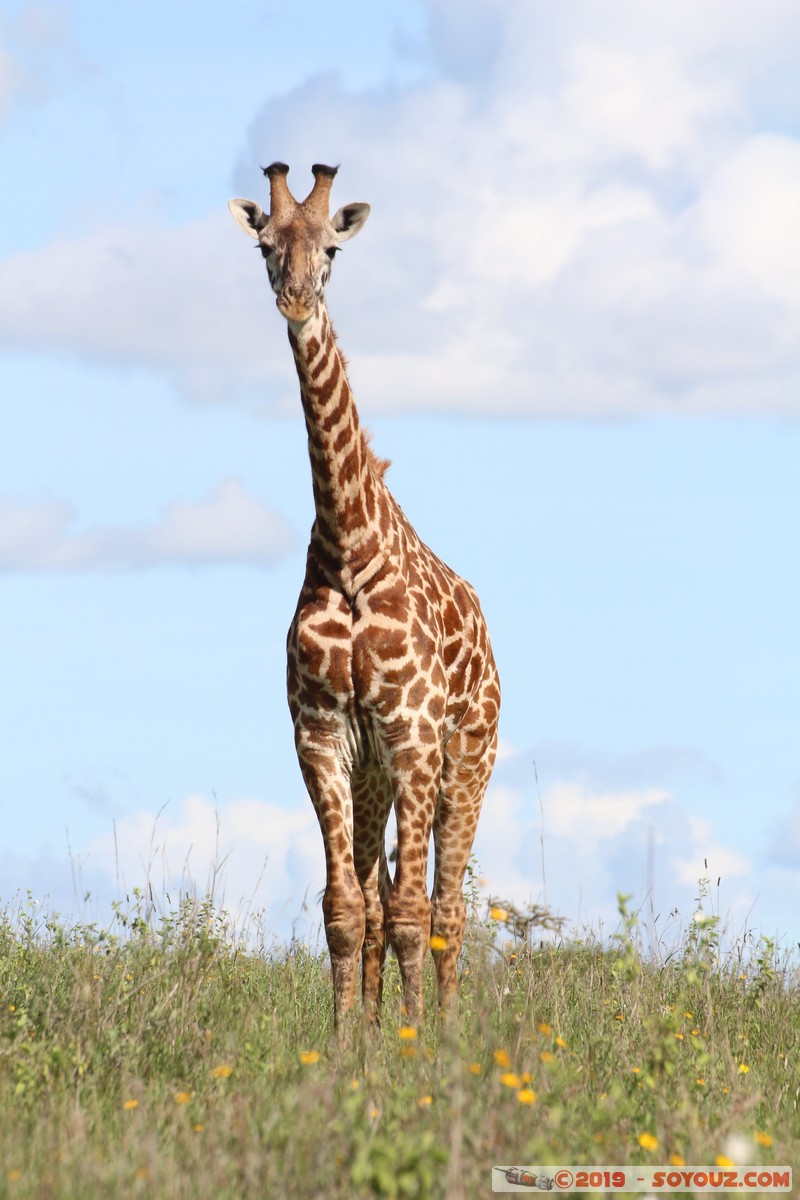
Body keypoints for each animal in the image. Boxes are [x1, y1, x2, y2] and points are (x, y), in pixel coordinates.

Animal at [229, 163, 500, 1027]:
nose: (295, 300)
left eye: (334, 249)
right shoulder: (322, 737)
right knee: (381, 901)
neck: (350, 550)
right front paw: (352, 1044)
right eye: (265, 245)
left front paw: (413, 1047)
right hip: (374, 774)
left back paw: (444, 1029)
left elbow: (414, 912)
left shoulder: (414, 736)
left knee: (448, 907)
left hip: (466, 759)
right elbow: (347, 910)